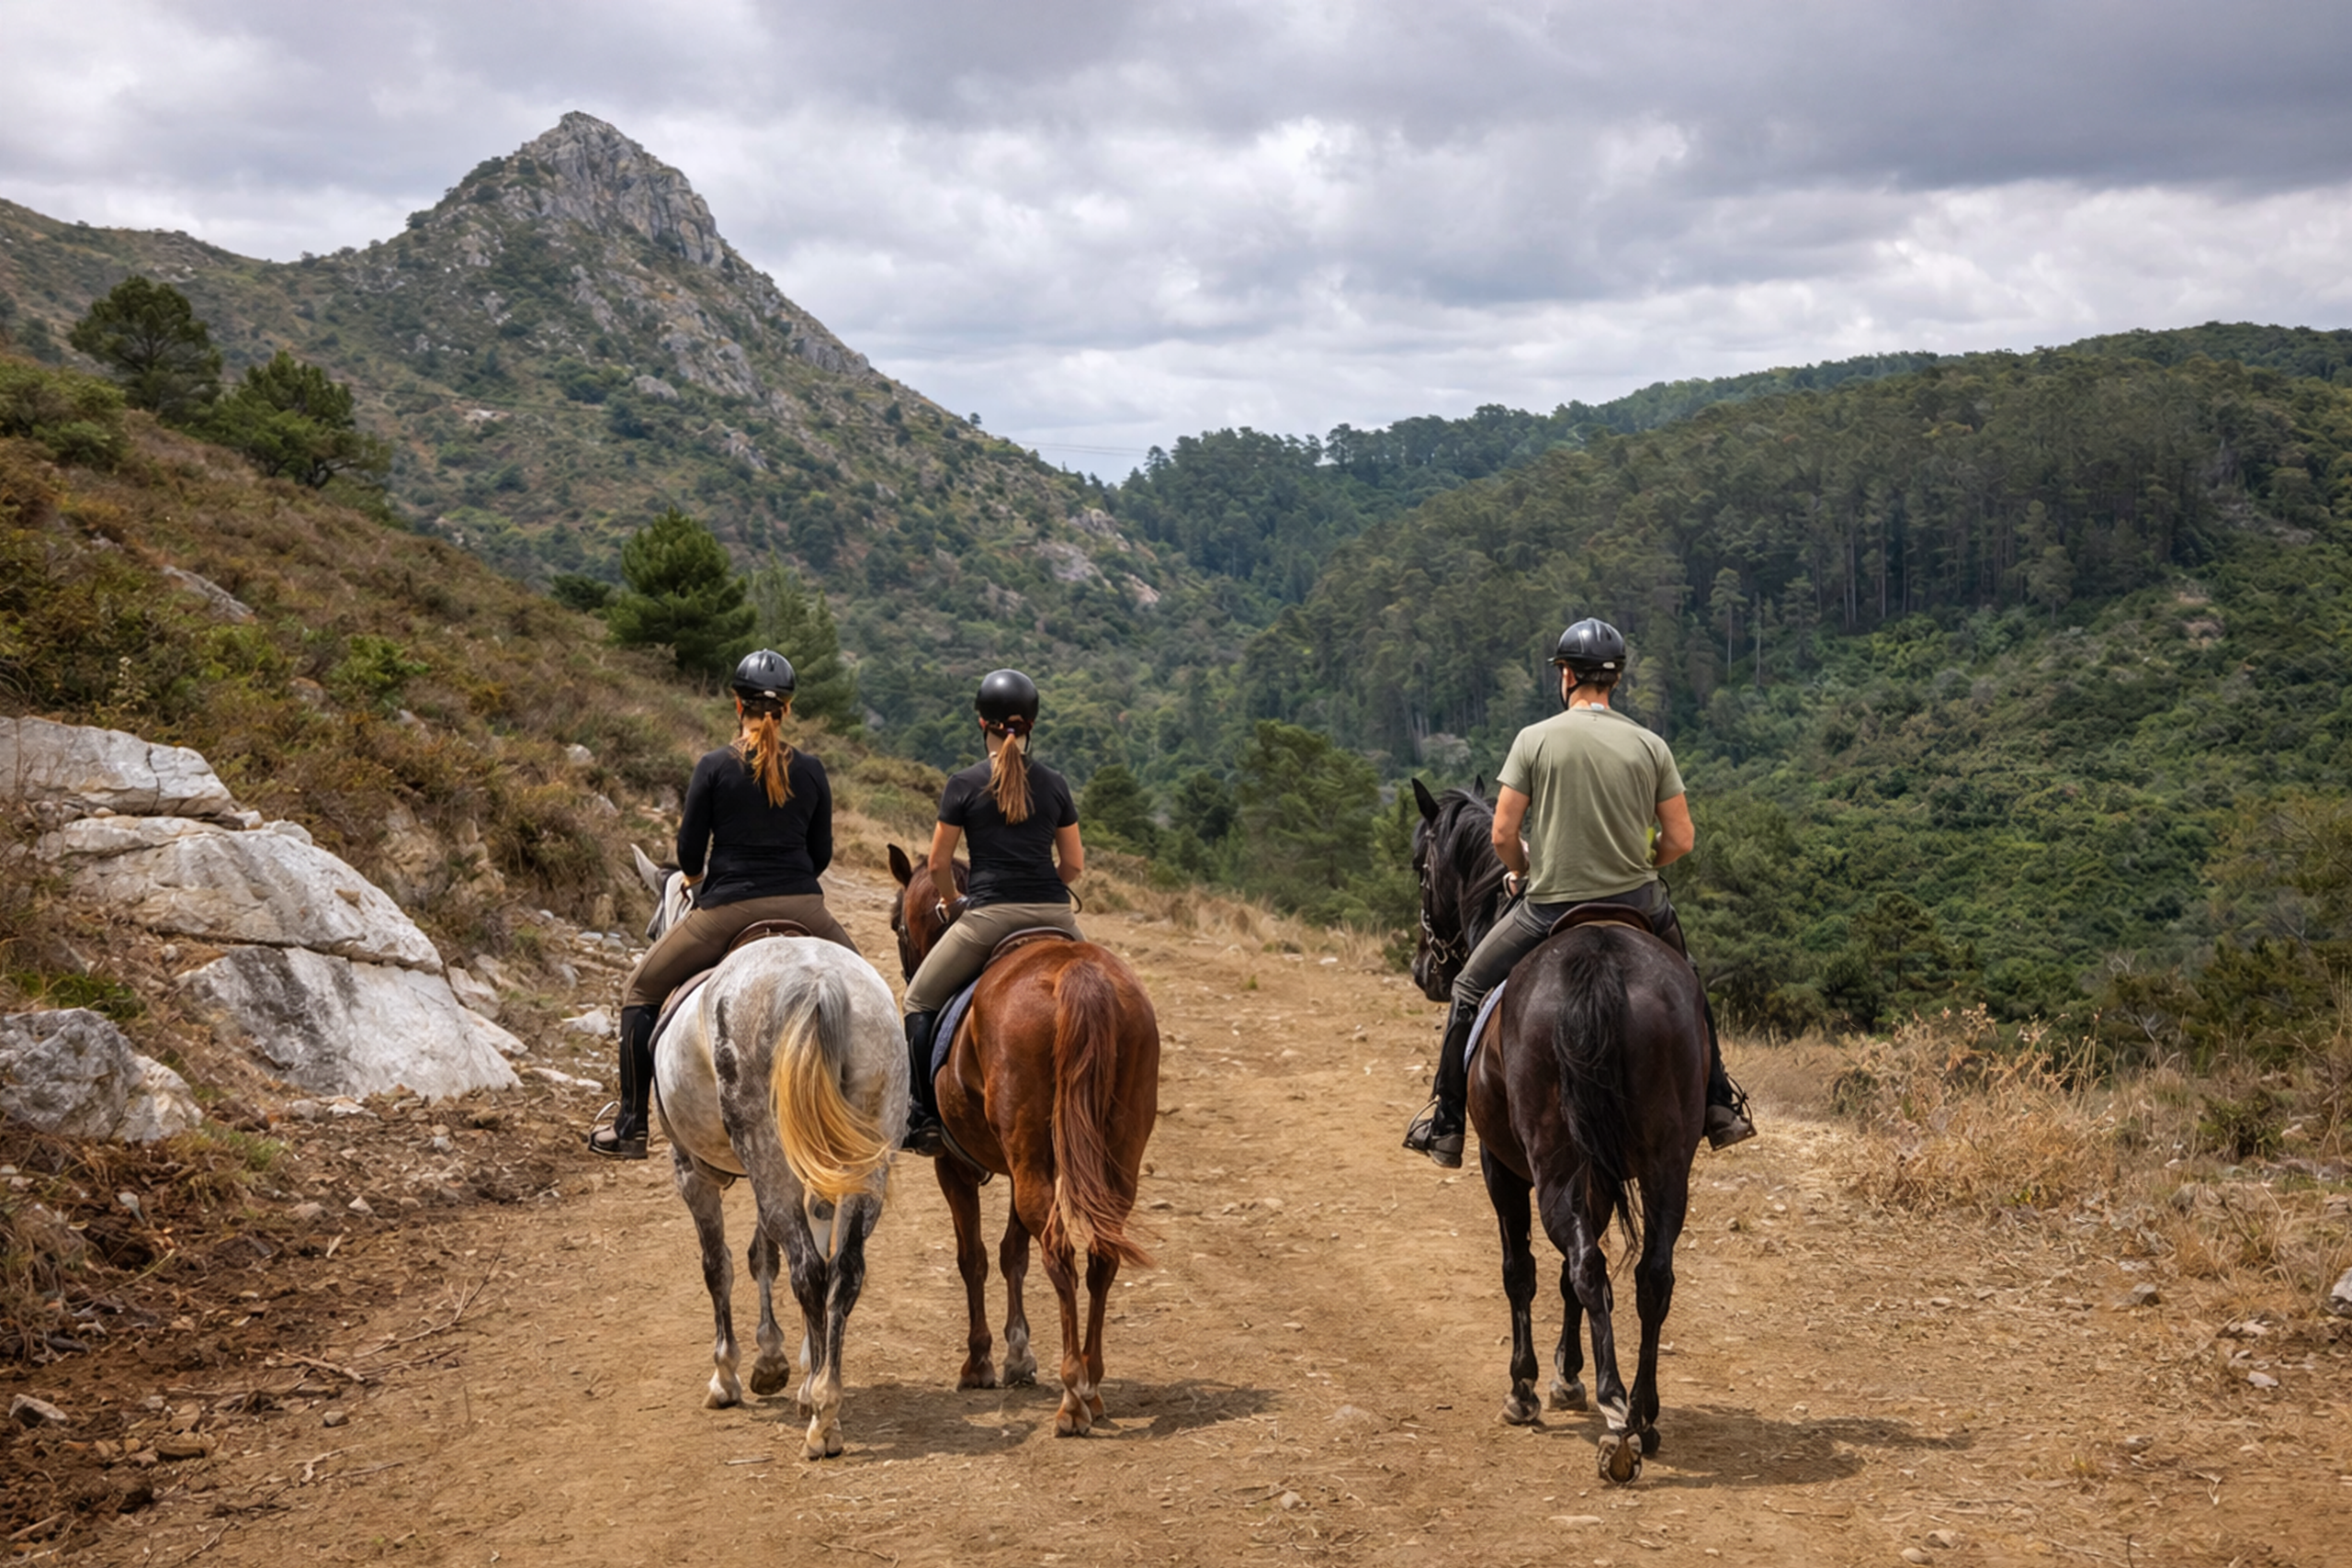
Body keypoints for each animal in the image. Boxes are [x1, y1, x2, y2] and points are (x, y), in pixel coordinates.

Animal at [631, 846, 907, 1460]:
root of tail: (818, 982)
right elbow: (765, 1254)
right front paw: (778, 1361)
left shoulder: (692, 1173)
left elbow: (720, 1266)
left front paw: (730, 1375)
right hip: (859, 1158)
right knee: (842, 1270)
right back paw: (821, 1392)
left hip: (761, 1149)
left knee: (809, 1269)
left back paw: (821, 1419)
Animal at [885, 844, 1159, 1436]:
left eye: (896, 923)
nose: (909, 963)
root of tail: (1078, 974)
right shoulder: (1024, 1164)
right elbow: (1014, 1253)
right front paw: (1017, 1355)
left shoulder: (955, 1167)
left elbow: (974, 1257)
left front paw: (982, 1361)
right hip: (1106, 1156)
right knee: (1100, 1253)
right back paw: (1093, 1383)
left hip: (1030, 1156)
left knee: (1059, 1248)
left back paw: (1073, 1395)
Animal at [1409, 783, 1709, 1484]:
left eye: (1419, 867)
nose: (1423, 970)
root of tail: (1597, 960)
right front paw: (1569, 1374)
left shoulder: (1501, 1166)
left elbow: (1521, 1270)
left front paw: (1527, 1386)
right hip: (1666, 1165)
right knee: (1649, 1275)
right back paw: (1644, 1415)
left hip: (1549, 1162)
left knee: (1586, 1264)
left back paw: (1616, 1417)